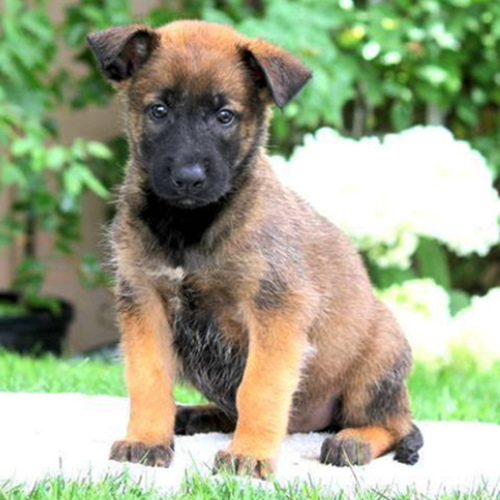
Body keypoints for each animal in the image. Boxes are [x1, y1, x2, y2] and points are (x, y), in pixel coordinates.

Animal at [89, 21, 422, 478]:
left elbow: (259, 388)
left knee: (395, 423)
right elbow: (148, 378)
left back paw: (352, 441)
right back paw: (194, 414)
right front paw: (147, 439)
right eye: (159, 111)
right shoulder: (143, 301)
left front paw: (250, 455)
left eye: (224, 116)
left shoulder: (275, 310)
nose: (188, 178)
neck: (191, 227)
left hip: (376, 364)